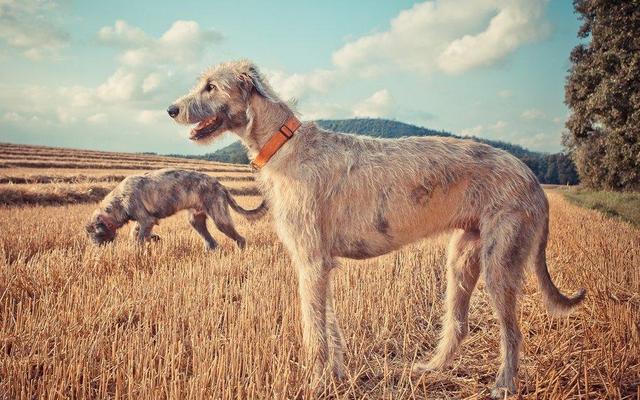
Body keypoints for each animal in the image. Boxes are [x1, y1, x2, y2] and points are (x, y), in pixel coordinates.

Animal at [85, 169, 264, 250]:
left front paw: (137, 251)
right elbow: (136, 233)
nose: (96, 250)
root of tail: (221, 186)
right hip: (196, 220)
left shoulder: (146, 219)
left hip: (220, 218)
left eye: (95, 234)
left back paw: (241, 250)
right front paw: (153, 239)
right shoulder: (143, 220)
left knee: (240, 238)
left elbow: (140, 237)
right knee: (211, 241)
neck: (118, 201)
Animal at [166, 59, 584, 396]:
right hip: (464, 254)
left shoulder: (311, 260)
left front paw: (316, 384)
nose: (170, 109)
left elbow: (314, 331)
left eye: (210, 86)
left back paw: (504, 385)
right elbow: (329, 327)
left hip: (502, 260)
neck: (283, 144)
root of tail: (533, 179)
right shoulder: (322, 264)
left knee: (513, 331)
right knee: (459, 322)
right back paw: (432, 368)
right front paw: (335, 376)